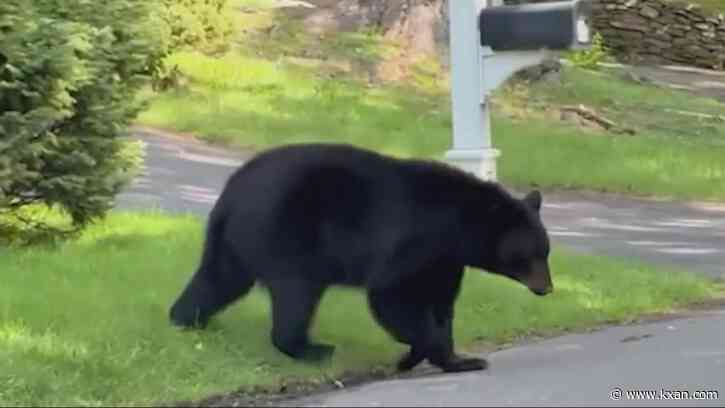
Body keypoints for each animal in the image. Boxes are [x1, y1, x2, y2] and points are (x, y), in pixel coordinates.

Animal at [169, 143, 553, 373]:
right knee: (296, 293)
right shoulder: (413, 242)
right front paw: (419, 352)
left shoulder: (444, 261)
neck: (456, 225)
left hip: (235, 242)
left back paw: (186, 319)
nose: (548, 288)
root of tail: (229, 194)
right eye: (533, 254)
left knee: (217, 279)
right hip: (286, 237)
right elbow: (390, 295)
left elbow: (440, 304)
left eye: (546, 252)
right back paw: (312, 349)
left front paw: (456, 359)